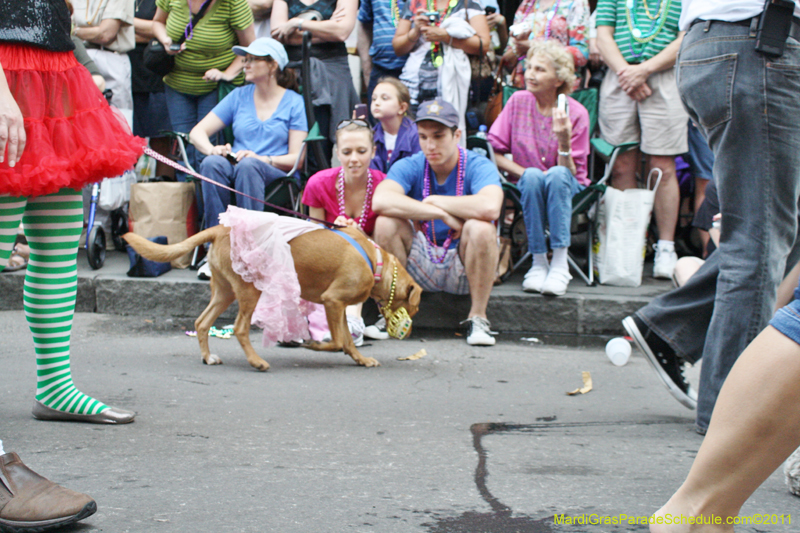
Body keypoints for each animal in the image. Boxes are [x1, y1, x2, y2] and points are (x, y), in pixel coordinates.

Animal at [122, 224, 422, 370]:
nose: (408, 331)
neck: (375, 262)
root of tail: (219, 229)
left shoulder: (335, 306)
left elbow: (347, 341)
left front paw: (361, 359)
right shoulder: (333, 300)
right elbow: (337, 341)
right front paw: (314, 345)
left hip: (224, 292)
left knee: (201, 322)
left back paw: (208, 358)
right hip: (249, 291)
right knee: (240, 329)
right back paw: (256, 362)